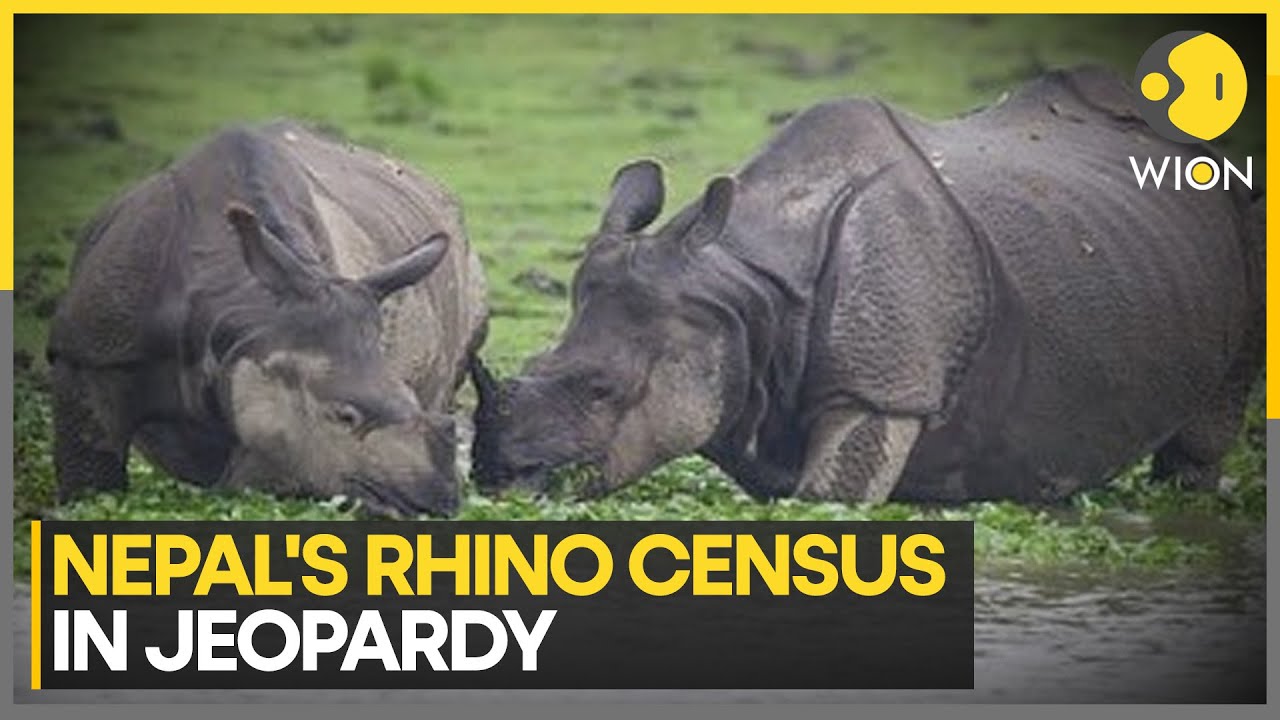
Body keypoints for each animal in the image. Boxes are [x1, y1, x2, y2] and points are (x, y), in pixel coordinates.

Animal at [471, 67, 1264, 504]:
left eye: (602, 390)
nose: (496, 478)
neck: (743, 294)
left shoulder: (883, 389)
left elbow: (831, 498)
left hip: (1248, 218)